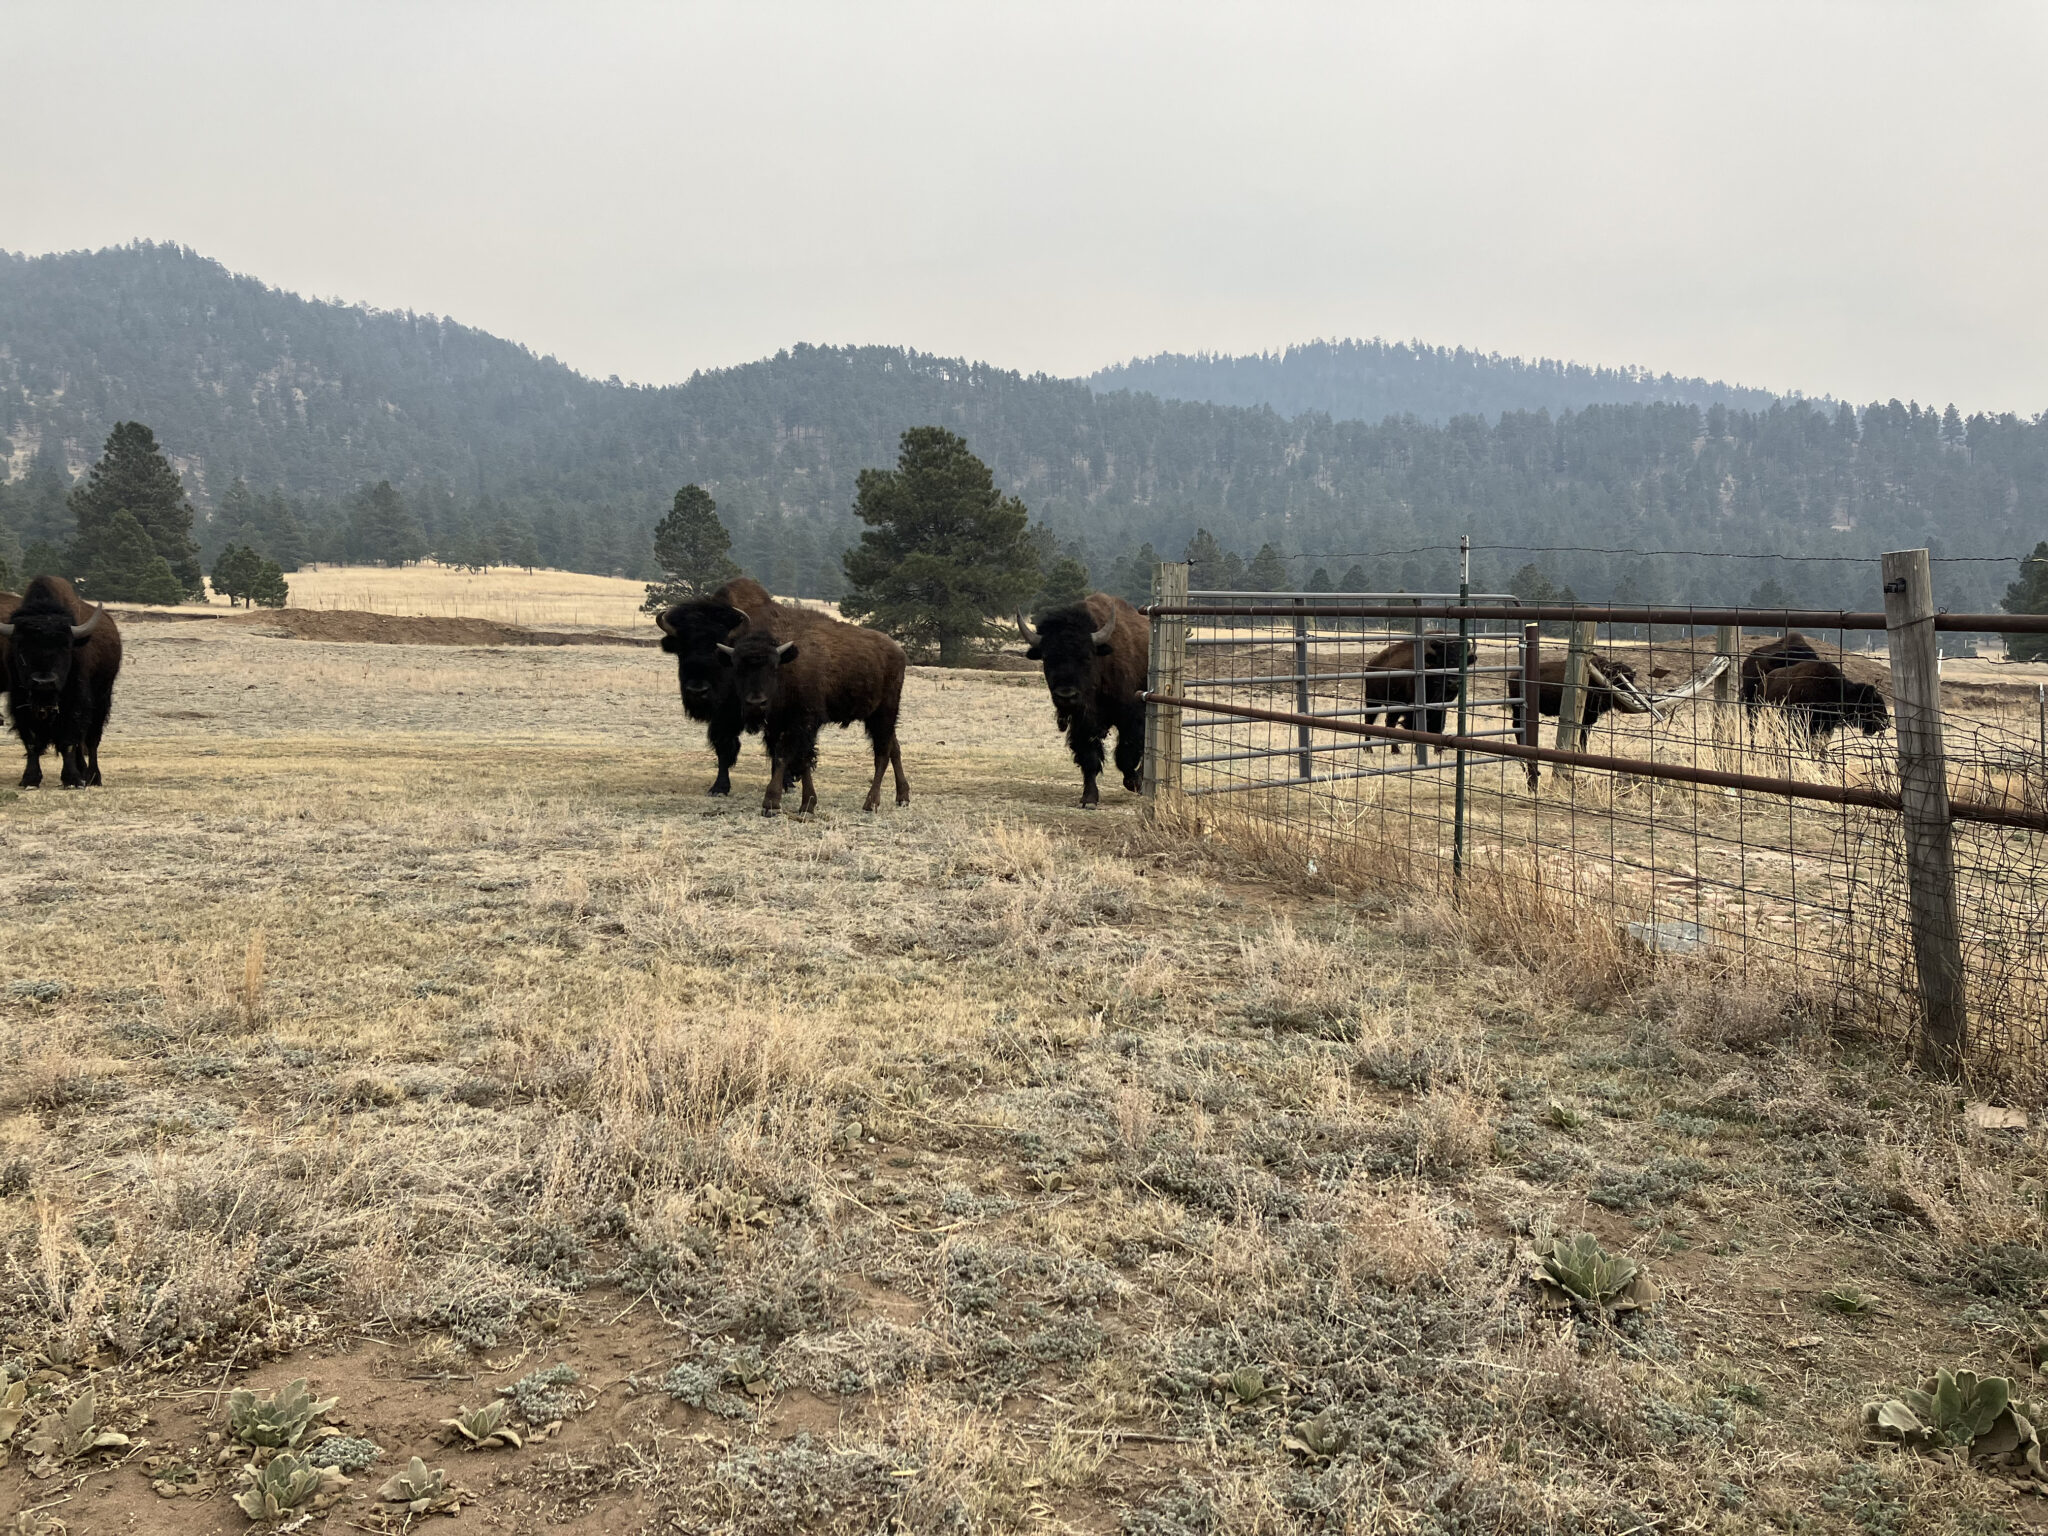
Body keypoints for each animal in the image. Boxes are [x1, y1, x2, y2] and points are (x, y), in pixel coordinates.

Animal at [0, 576, 122, 788]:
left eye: (65, 646)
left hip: (102, 700)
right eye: (20, 646)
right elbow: (31, 741)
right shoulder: (20, 703)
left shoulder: (74, 704)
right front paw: (29, 779)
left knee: (91, 740)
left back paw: (92, 777)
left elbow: (68, 741)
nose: (44, 682)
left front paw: (72, 780)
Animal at [653, 576, 778, 795]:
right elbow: (723, 747)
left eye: (718, 650)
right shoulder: (721, 717)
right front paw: (719, 787)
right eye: (681, 650)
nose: (697, 691)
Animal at [719, 611, 909, 816]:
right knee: (894, 748)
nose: (756, 703)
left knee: (882, 754)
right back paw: (903, 797)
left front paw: (771, 802)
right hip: (877, 718)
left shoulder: (803, 723)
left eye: (773, 667)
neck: (788, 666)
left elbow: (788, 756)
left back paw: (871, 803)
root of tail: (899, 652)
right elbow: (798, 759)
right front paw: (807, 804)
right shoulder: (777, 726)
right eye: (737, 668)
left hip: (884, 713)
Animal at [1017, 594, 1148, 808]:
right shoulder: (1082, 723)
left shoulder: (1130, 717)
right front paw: (1089, 799)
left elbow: (1126, 755)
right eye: (1047, 657)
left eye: (1086, 656)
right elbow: (1089, 758)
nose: (1066, 695)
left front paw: (1135, 783)